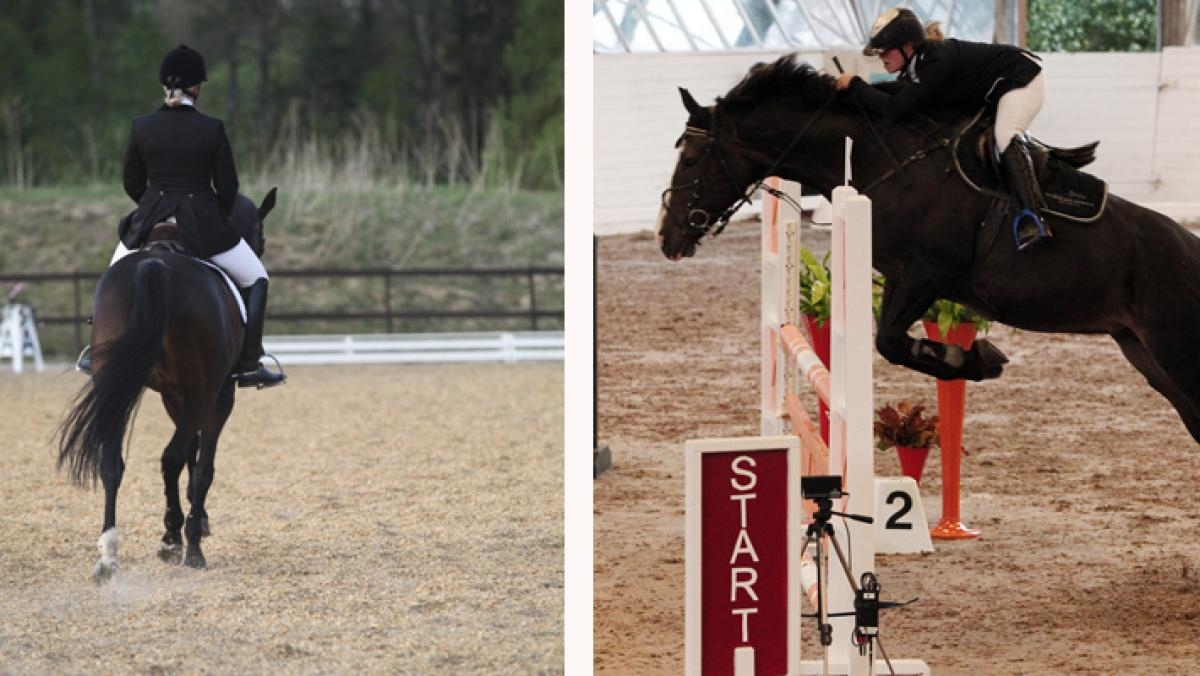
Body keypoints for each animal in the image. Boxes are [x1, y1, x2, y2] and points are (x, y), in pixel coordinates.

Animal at [60, 187, 278, 583]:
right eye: (259, 231)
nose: (261, 246)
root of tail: (155, 264)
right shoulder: (218, 394)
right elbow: (202, 464)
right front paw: (190, 530)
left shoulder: (176, 395)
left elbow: (190, 455)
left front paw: (188, 523)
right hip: (206, 390)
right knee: (170, 456)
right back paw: (186, 547)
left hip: (115, 384)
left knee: (113, 462)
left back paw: (109, 557)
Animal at [662, 56, 1200, 444]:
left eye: (690, 158)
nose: (668, 238)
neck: (891, 163)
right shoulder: (902, 278)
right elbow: (892, 341)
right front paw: (976, 358)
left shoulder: (925, 274)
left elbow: (890, 342)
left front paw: (975, 358)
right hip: (1146, 355)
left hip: (1174, 351)